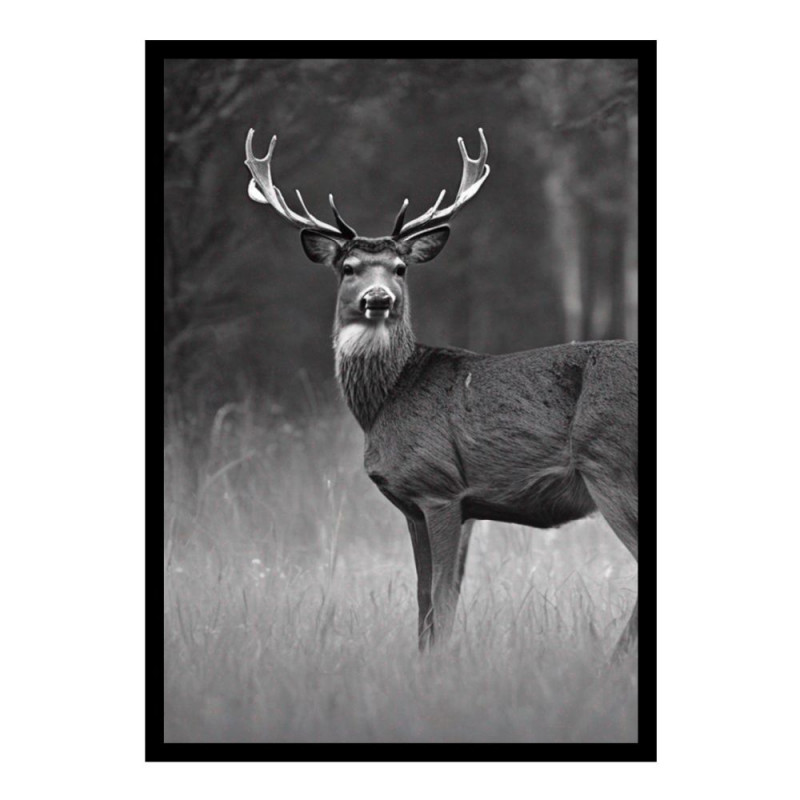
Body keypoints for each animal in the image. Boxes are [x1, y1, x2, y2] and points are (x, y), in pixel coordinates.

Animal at [244, 128, 638, 659]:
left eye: (399, 268)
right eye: (348, 267)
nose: (378, 299)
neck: (384, 401)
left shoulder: (439, 486)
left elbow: (442, 595)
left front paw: (441, 664)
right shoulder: (425, 504)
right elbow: (424, 597)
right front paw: (424, 661)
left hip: (611, 461)